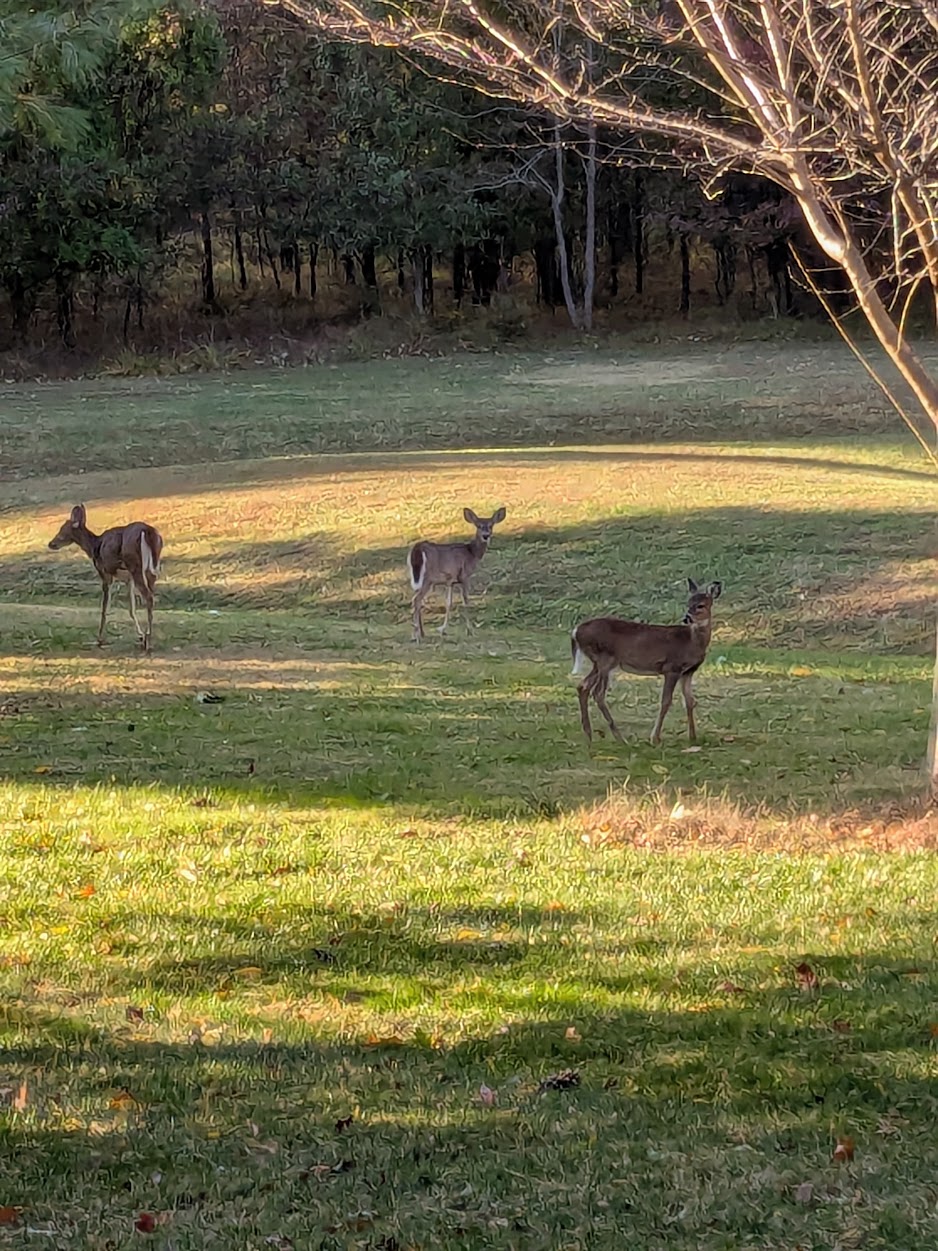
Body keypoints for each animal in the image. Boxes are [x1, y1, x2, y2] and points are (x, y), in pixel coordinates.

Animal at [48, 504, 164, 652]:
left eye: (62, 529)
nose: (51, 543)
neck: (94, 546)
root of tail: (147, 531)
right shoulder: (128, 579)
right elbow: (131, 609)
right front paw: (140, 636)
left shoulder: (105, 573)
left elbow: (104, 609)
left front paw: (99, 639)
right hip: (151, 569)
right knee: (152, 596)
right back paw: (148, 639)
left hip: (135, 566)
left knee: (148, 596)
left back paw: (148, 642)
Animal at [408, 507, 507, 642]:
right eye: (479, 526)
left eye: (491, 525)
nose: (486, 536)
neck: (472, 553)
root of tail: (418, 548)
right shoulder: (464, 576)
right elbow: (465, 602)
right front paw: (470, 631)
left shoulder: (451, 581)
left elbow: (448, 603)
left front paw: (443, 630)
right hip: (428, 578)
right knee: (416, 600)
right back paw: (416, 635)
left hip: (417, 577)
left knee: (417, 600)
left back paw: (422, 633)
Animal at [571, 578, 723, 745]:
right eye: (688, 603)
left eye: (700, 605)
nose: (686, 618)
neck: (691, 641)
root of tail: (576, 631)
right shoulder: (672, 667)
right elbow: (666, 701)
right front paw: (655, 738)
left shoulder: (688, 671)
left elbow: (690, 701)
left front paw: (693, 737)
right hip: (605, 659)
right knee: (597, 693)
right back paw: (619, 737)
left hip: (599, 663)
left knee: (583, 686)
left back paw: (589, 734)